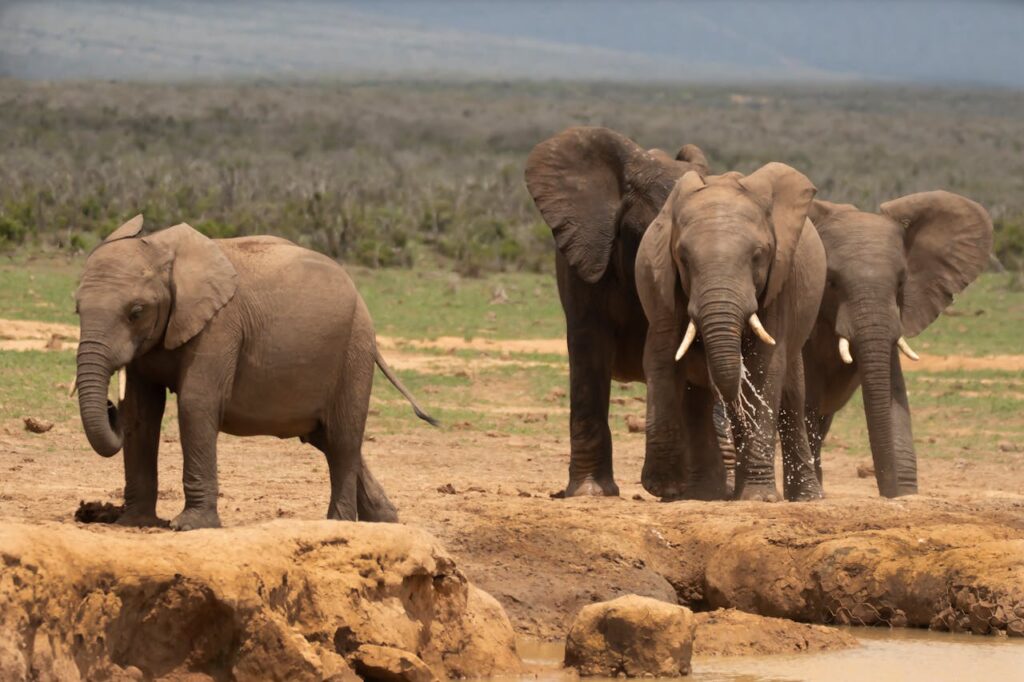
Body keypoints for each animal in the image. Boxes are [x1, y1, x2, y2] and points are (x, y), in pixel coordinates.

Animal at [74, 215, 436, 528]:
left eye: (136, 312)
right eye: (77, 309)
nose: (109, 407)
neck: (164, 249)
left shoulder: (220, 326)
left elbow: (196, 403)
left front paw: (188, 526)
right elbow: (140, 412)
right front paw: (133, 523)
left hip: (354, 348)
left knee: (343, 438)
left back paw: (340, 523)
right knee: (326, 439)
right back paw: (385, 520)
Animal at [634, 159, 827, 499]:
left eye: (758, 256)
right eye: (683, 258)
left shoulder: (780, 282)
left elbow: (764, 367)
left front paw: (759, 498)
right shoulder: (660, 284)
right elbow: (662, 356)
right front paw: (663, 485)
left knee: (792, 395)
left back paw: (806, 498)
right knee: (697, 400)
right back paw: (704, 493)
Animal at [790, 189, 991, 493]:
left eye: (900, 283)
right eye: (831, 282)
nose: (889, 487)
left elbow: (894, 395)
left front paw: (904, 494)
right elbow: (807, 402)